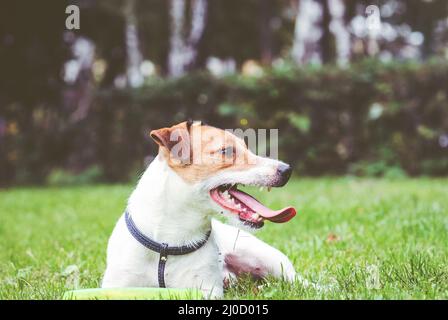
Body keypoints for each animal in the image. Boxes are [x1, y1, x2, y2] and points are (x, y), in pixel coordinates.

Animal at [101, 120, 298, 298]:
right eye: (227, 151)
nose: (287, 170)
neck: (169, 240)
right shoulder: (117, 285)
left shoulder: (206, 289)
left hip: (266, 257)